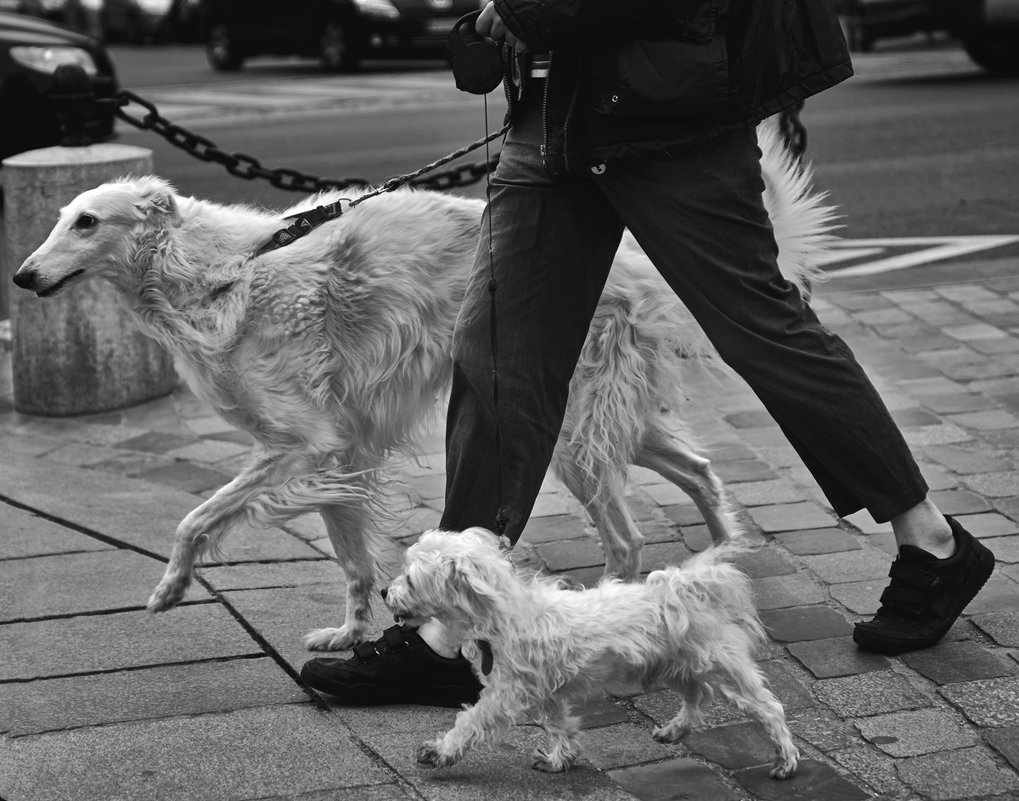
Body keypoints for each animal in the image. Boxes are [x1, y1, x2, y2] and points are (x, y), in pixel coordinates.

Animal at [11, 124, 835, 648]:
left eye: (87, 222)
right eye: (61, 217)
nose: (20, 277)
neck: (223, 271)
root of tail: (633, 258)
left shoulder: (304, 444)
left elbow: (196, 519)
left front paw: (171, 586)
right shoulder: (339, 451)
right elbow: (351, 559)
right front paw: (350, 634)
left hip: (571, 434)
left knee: (630, 539)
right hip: (609, 424)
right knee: (698, 467)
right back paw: (723, 555)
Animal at [385, 525, 798, 778]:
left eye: (410, 580)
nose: (384, 592)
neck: (503, 617)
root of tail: (687, 591)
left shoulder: (507, 693)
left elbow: (471, 721)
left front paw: (440, 751)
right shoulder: (545, 691)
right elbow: (560, 725)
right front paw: (559, 759)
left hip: (719, 667)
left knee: (768, 708)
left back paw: (785, 759)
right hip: (675, 667)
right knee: (697, 698)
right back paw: (673, 730)